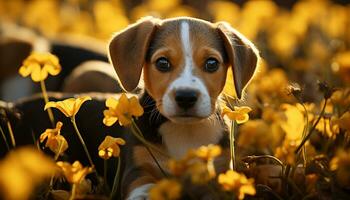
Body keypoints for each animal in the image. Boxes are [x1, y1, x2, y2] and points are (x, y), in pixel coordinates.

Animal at [109, 16, 260, 199]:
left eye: (211, 63)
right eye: (162, 63)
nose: (186, 97)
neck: (185, 130)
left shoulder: (219, 170)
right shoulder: (137, 167)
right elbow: (142, 184)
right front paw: (143, 195)